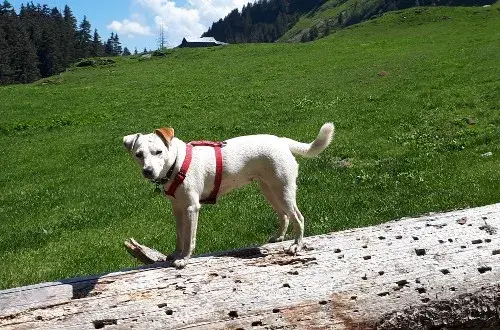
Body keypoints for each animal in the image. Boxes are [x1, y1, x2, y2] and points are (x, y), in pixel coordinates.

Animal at [124, 123, 336, 268]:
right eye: (138, 154)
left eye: (158, 152)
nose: (148, 171)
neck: (177, 163)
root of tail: (282, 141)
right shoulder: (177, 209)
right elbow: (179, 235)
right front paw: (176, 254)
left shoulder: (191, 208)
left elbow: (189, 238)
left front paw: (184, 259)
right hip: (269, 190)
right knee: (283, 215)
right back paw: (278, 237)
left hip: (283, 190)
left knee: (298, 218)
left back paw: (296, 245)